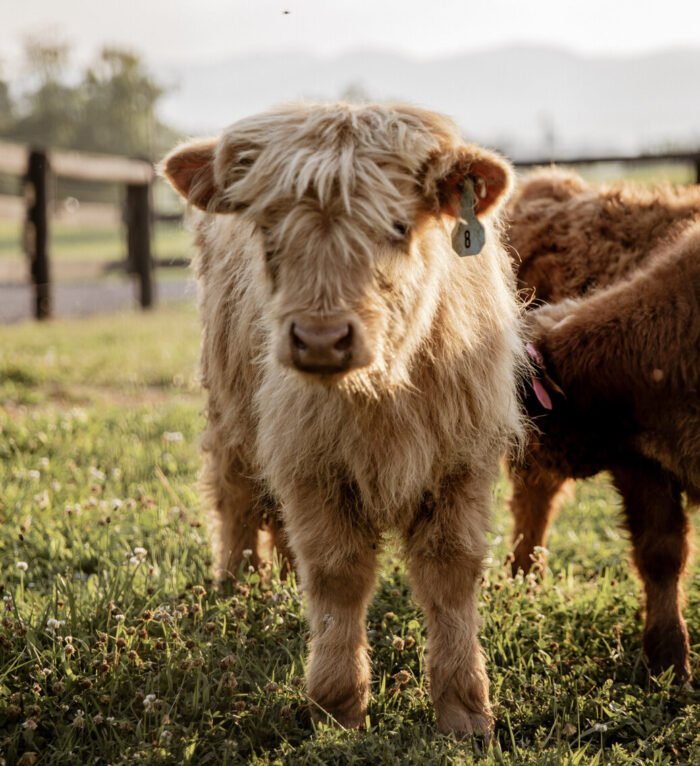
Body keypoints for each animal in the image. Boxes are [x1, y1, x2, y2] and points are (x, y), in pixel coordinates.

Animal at [163, 103, 524, 736]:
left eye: (398, 227)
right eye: (268, 230)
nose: (321, 338)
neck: (382, 393)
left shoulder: (462, 462)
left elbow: (450, 574)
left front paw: (463, 710)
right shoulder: (311, 460)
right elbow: (338, 575)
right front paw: (338, 706)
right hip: (230, 410)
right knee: (235, 496)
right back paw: (235, 586)